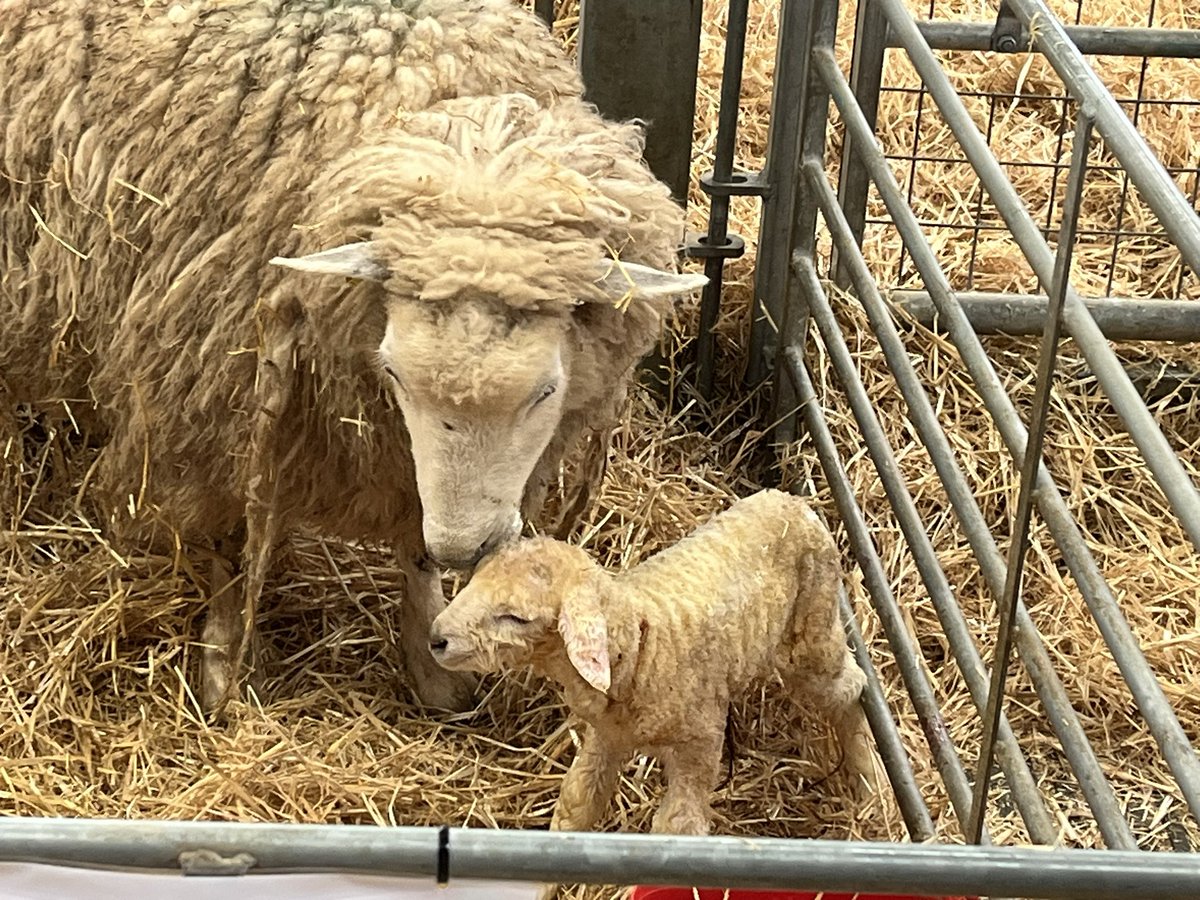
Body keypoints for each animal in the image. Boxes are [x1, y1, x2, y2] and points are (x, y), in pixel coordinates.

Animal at [0, 0, 706, 714]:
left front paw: (433, 658)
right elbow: (229, 537)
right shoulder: (207, 395)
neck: (479, 160)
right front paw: (224, 662)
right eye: (391, 370)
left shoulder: (402, 459)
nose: (462, 549)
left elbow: (415, 551)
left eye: (545, 391)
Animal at [428, 489, 880, 836]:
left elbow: (677, 827)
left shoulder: (700, 747)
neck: (643, 644)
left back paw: (870, 784)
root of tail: (795, 502)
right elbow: (576, 806)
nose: (437, 638)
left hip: (812, 632)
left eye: (516, 617)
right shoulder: (606, 737)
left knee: (851, 687)